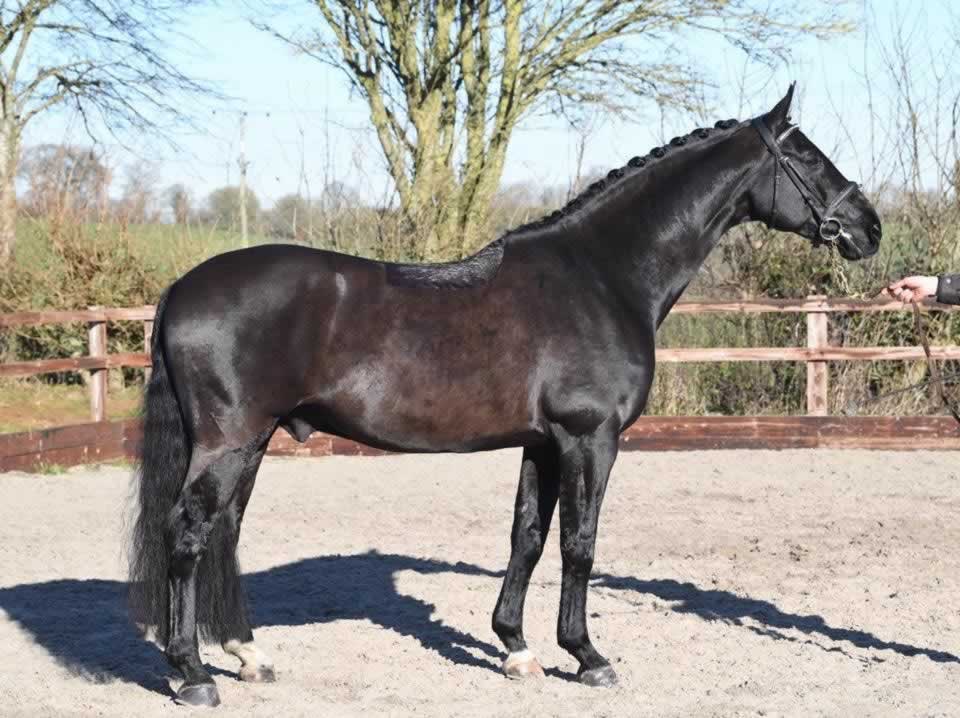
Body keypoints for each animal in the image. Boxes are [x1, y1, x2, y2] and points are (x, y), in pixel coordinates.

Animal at [128, 84, 881, 706]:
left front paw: (516, 648)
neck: (602, 276)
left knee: (224, 533)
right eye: (807, 156)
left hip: (253, 441)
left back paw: (246, 656)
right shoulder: (589, 440)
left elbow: (527, 537)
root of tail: (182, 288)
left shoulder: (542, 444)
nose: (870, 227)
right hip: (228, 442)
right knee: (187, 533)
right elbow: (579, 544)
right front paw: (587, 656)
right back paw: (191, 673)